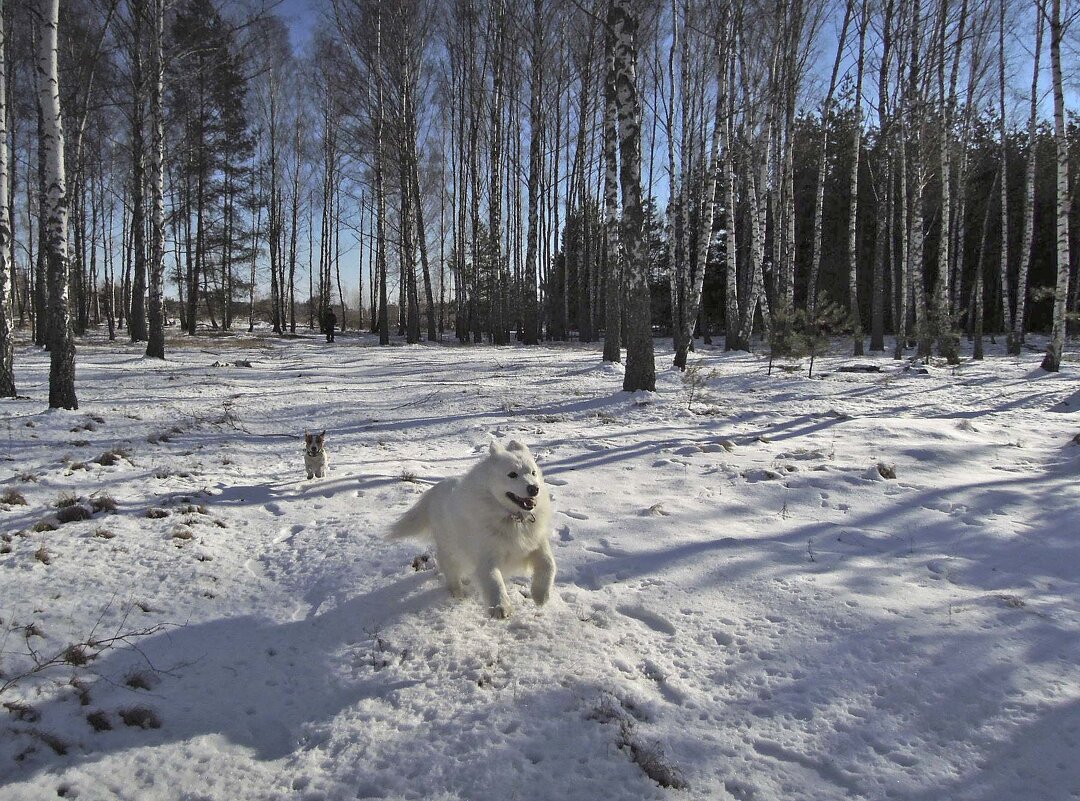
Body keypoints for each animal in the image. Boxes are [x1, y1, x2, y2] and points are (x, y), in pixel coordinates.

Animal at [390, 442, 557, 617]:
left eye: (533, 473)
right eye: (512, 474)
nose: (534, 488)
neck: (512, 517)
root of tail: (434, 491)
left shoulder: (536, 543)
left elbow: (549, 564)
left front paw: (540, 595)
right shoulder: (486, 556)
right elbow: (494, 580)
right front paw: (500, 607)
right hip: (451, 549)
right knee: (450, 570)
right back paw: (457, 593)